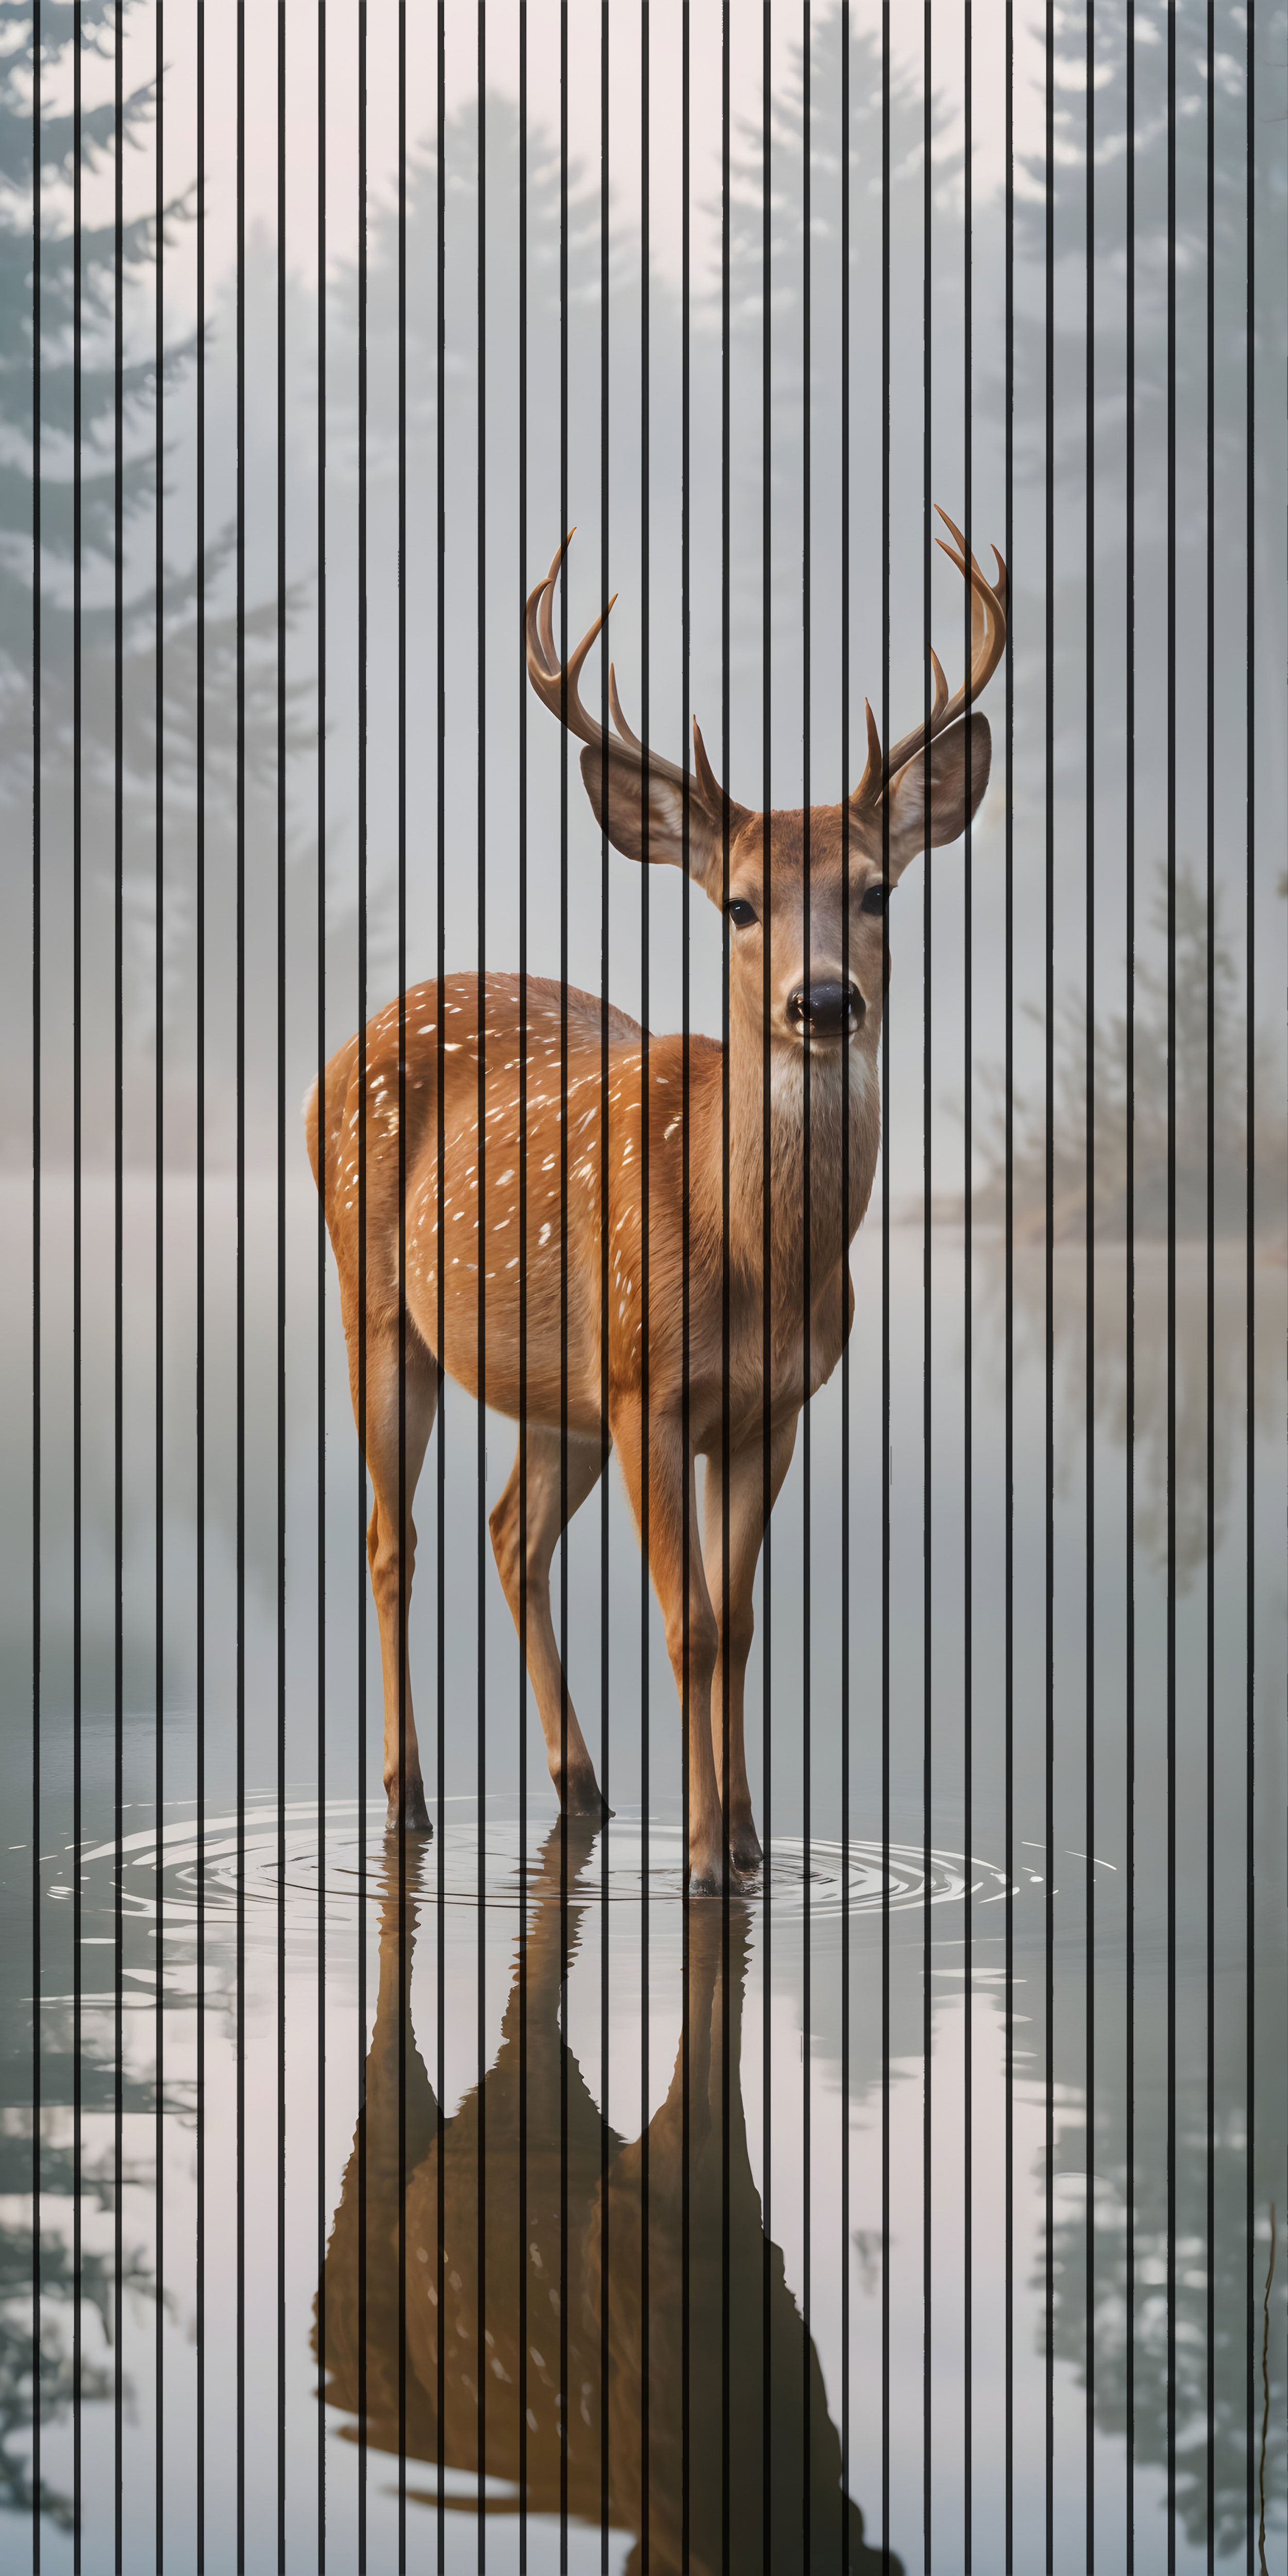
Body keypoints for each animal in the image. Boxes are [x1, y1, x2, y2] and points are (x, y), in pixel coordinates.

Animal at [307, 508, 1006, 1894]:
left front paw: (750, 1844)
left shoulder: (770, 1404)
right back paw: (409, 1801)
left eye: (875, 889)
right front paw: (699, 1863)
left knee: (509, 1528)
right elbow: (685, 1621)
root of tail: (335, 1055)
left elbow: (737, 1621)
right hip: (382, 1307)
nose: (822, 1000)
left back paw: (583, 1788)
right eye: (737, 901)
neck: (754, 1260)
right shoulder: (649, 1385)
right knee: (387, 1536)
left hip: (555, 1389)